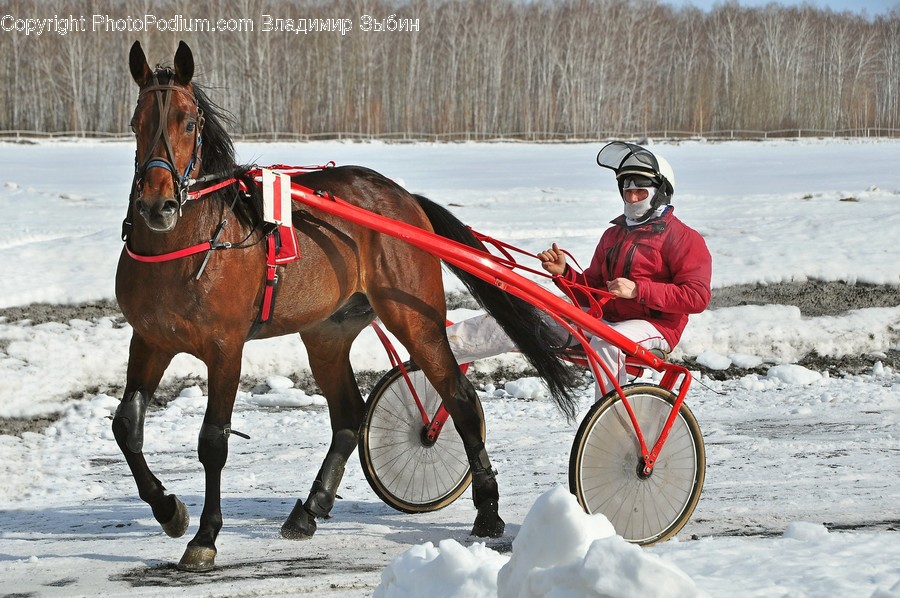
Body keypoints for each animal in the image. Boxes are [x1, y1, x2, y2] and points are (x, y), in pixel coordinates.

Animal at [113, 40, 578, 572]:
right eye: (137, 121)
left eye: (188, 121)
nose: (158, 205)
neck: (190, 247)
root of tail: (403, 197)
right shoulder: (150, 339)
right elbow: (126, 427)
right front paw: (170, 510)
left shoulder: (225, 346)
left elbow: (213, 440)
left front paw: (205, 535)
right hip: (326, 332)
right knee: (350, 416)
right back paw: (309, 509)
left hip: (414, 315)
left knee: (459, 397)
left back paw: (488, 510)